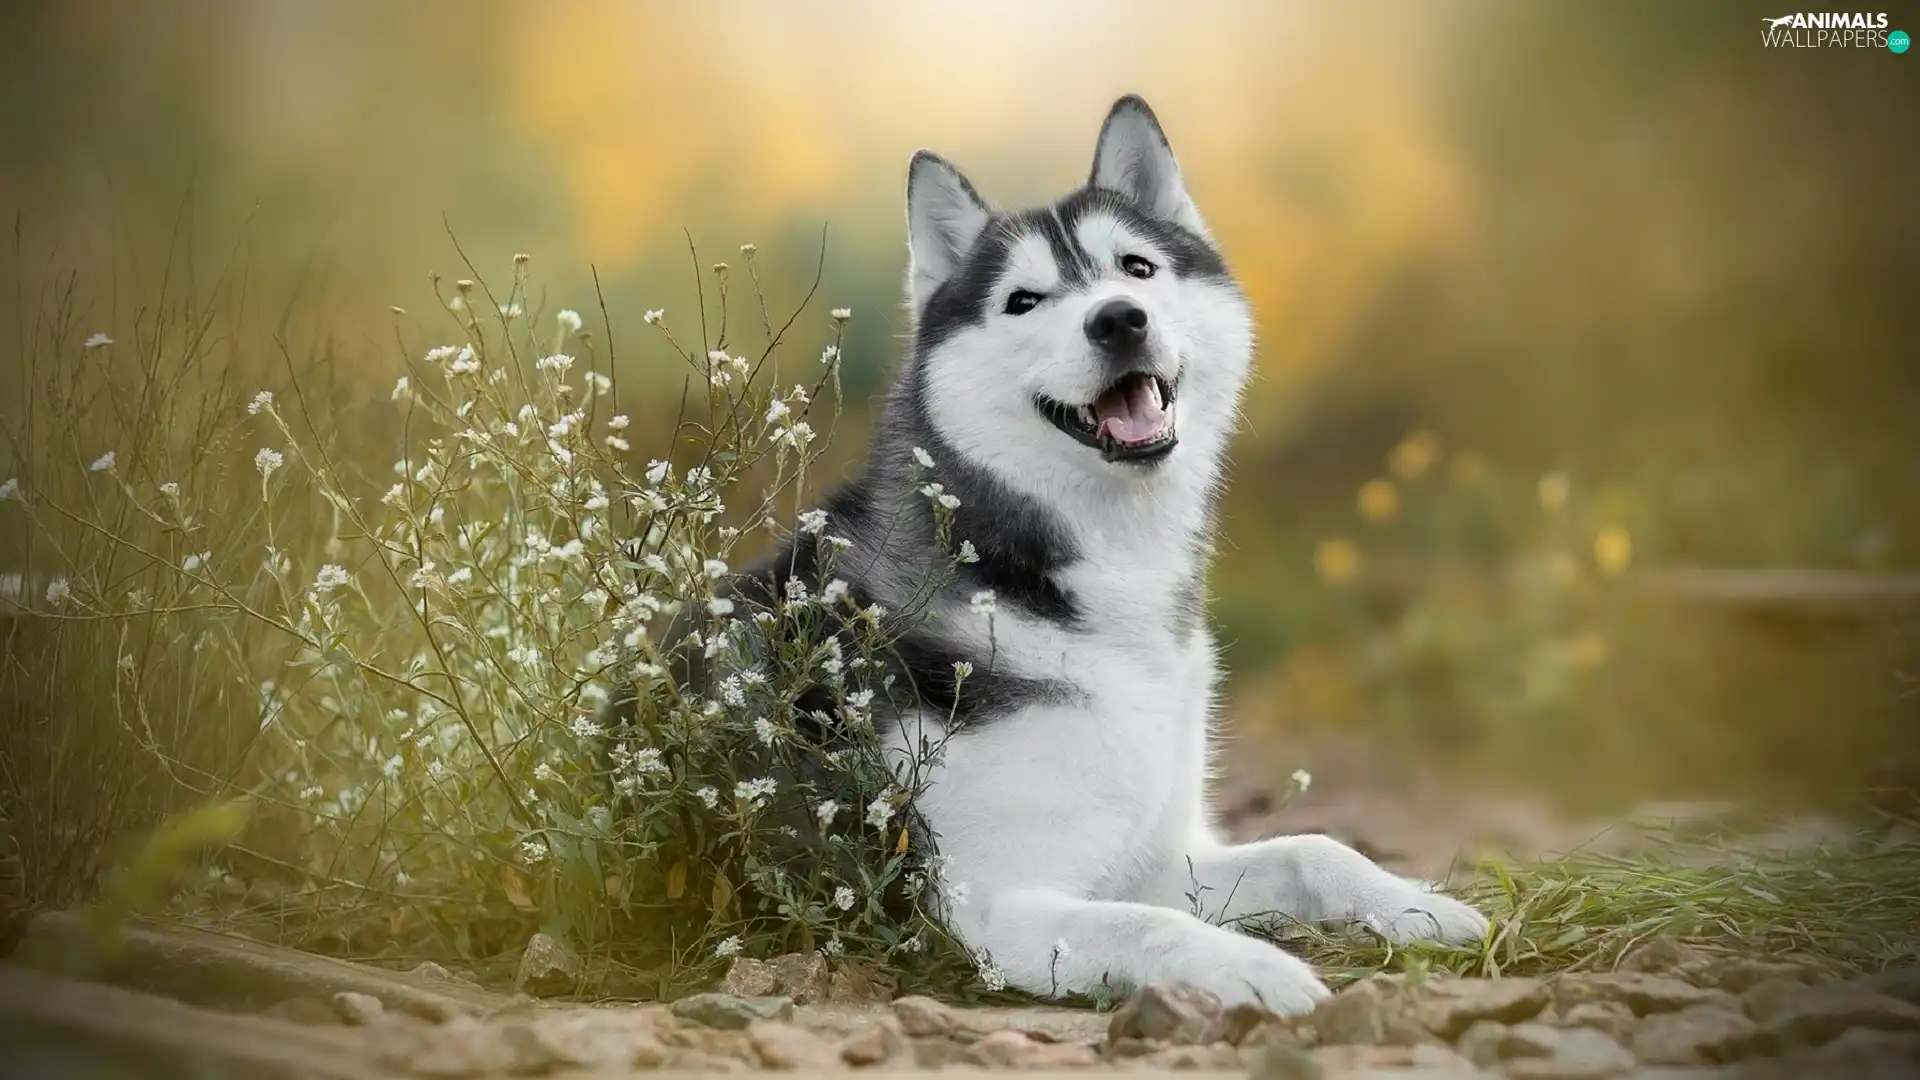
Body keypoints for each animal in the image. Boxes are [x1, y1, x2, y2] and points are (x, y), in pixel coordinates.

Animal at [679, 94, 1497, 1006]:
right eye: (1024, 300)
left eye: (1137, 269)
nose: (1118, 318)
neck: (1097, 587)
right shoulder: (1000, 910)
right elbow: (1152, 926)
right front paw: (1260, 970)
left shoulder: (1159, 860)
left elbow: (1311, 848)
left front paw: (1418, 904)